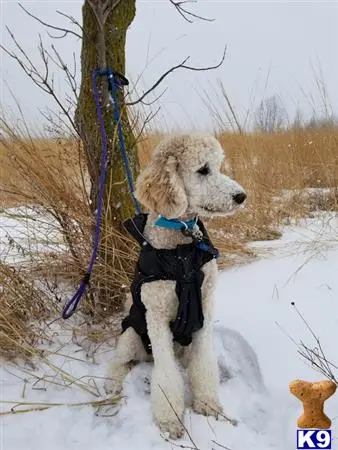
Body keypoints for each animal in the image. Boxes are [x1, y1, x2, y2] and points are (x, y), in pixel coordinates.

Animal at [105, 132, 246, 438]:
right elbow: (166, 374)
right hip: (131, 336)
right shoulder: (156, 317)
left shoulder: (204, 308)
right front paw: (170, 420)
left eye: (219, 165)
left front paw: (207, 403)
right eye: (203, 170)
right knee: (119, 362)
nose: (242, 196)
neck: (182, 248)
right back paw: (112, 385)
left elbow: (203, 362)